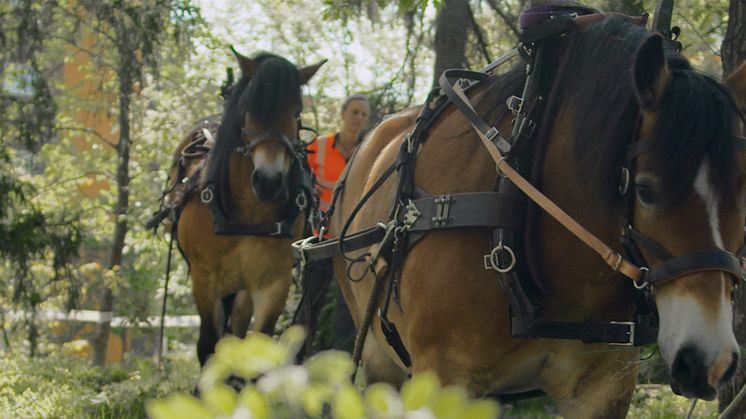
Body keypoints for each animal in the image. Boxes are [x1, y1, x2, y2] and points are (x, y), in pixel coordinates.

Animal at [170, 50, 324, 368]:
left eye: (296, 111)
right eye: (250, 110)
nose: (268, 181)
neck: (250, 214)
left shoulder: (274, 284)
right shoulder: (205, 279)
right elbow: (208, 346)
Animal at [328, 14, 744, 418]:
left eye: (742, 195)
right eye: (645, 190)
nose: (708, 360)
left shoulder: (605, 386)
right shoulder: (446, 375)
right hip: (380, 357)